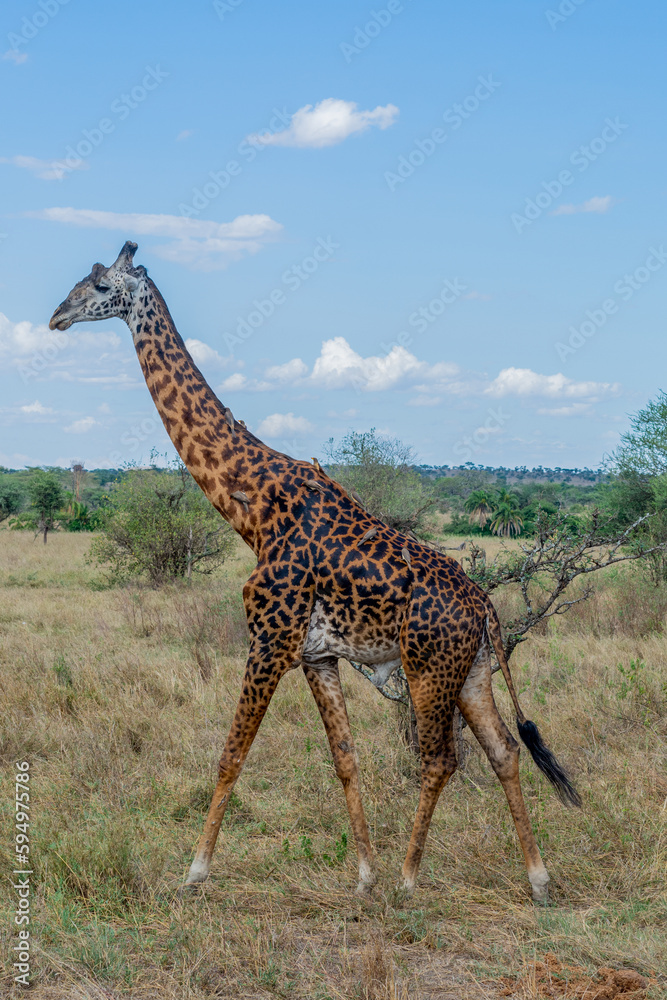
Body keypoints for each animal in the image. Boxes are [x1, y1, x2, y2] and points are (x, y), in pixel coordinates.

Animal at [49, 242, 581, 902]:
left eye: (99, 286)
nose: (57, 317)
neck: (252, 506)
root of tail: (486, 609)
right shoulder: (316, 654)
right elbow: (345, 759)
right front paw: (364, 876)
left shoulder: (270, 639)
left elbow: (230, 755)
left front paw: (194, 873)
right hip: (473, 670)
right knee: (505, 751)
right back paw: (537, 879)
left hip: (429, 668)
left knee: (440, 759)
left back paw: (411, 880)